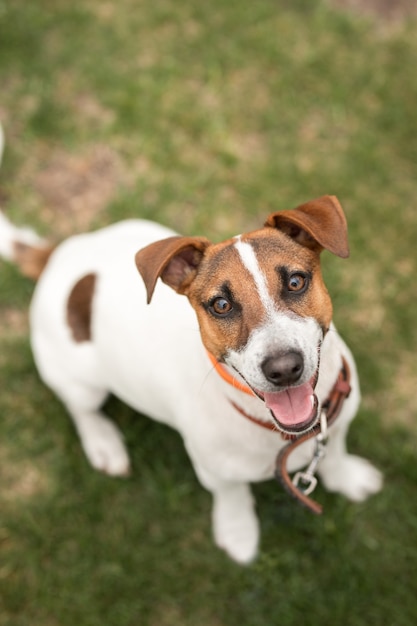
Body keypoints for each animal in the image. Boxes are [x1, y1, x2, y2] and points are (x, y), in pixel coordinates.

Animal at [0, 145, 380, 560]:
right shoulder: (214, 470)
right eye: (221, 305)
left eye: (296, 282)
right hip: (80, 380)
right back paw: (103, 442)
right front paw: (238, 533)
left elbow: (336, 452)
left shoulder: (337, 422)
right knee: (80, 409)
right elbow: (233, 496)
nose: (284, 369)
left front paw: (348, 477)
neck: (280, 433)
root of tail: (60, 254)